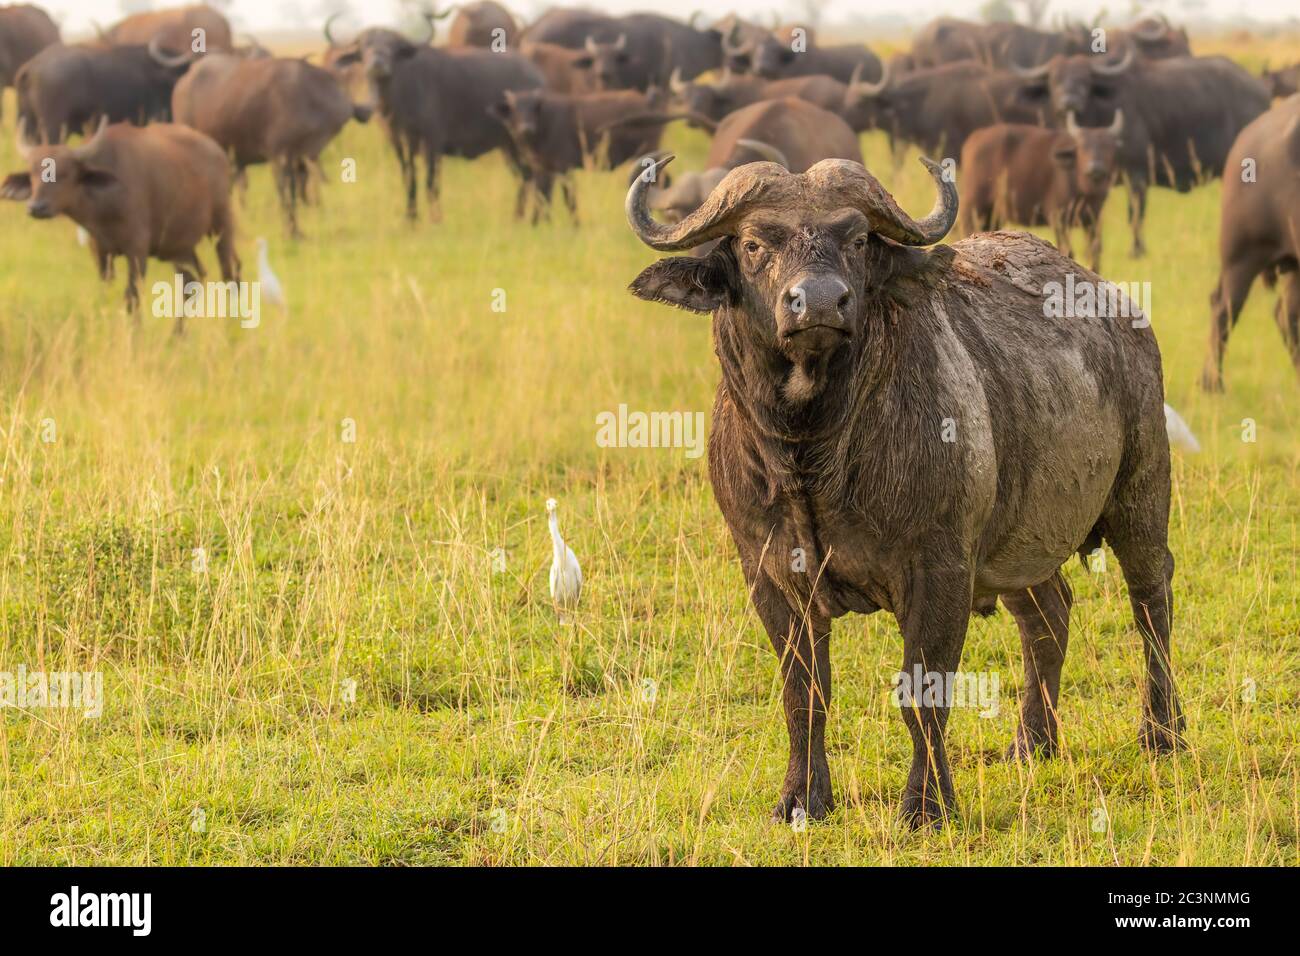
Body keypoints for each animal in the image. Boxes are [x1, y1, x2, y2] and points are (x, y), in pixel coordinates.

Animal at [1, 119, 239, 327]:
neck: (104, 207)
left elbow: (132, 296)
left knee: (230, 272)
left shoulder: (137, 251)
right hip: (179, 247)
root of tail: (218, 153)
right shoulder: (100, 252)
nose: (36, 207)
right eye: (32, 173)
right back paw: (177, 336)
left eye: (65, 173)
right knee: (192, 282)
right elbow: (108, 291)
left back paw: (231, 325)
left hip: (221, 225)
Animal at [624, 156, 1182, 828]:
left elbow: (924, 692)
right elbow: (803, 695)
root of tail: (1120, 309)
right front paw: (800, 798)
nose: (819, 301)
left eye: (859, 240)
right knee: (1049, 613)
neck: (815, 454)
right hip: (1017, 545)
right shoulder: (767, 573)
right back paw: (1033, 742)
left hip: (1141, 494)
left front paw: (926, 805)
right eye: (754, 243)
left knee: (1151, 600)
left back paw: (1162, 732)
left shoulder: (939, 569)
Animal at [959, 111, 1124, 271]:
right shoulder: (1058, 218)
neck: (1084, 192)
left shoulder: (1094, 219)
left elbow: (1095, 252)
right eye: (1083, 147)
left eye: (1108, 147)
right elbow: (1068, 251)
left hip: (994, 214)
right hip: (973, 206)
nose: (1095, 169)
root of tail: (976, 138)